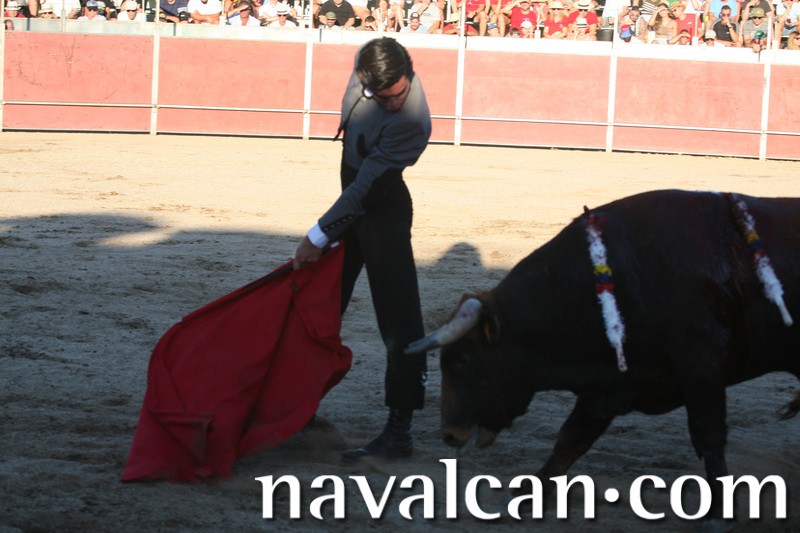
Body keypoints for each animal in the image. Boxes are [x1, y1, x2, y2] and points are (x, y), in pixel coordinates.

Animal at [406, 189, 800, 524]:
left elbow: (709, 438)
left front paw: (718, 515)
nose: (450, 435)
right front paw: (524, 498)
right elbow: (571, 439)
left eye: (463, 361)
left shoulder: (702, 371)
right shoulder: (610, 385)